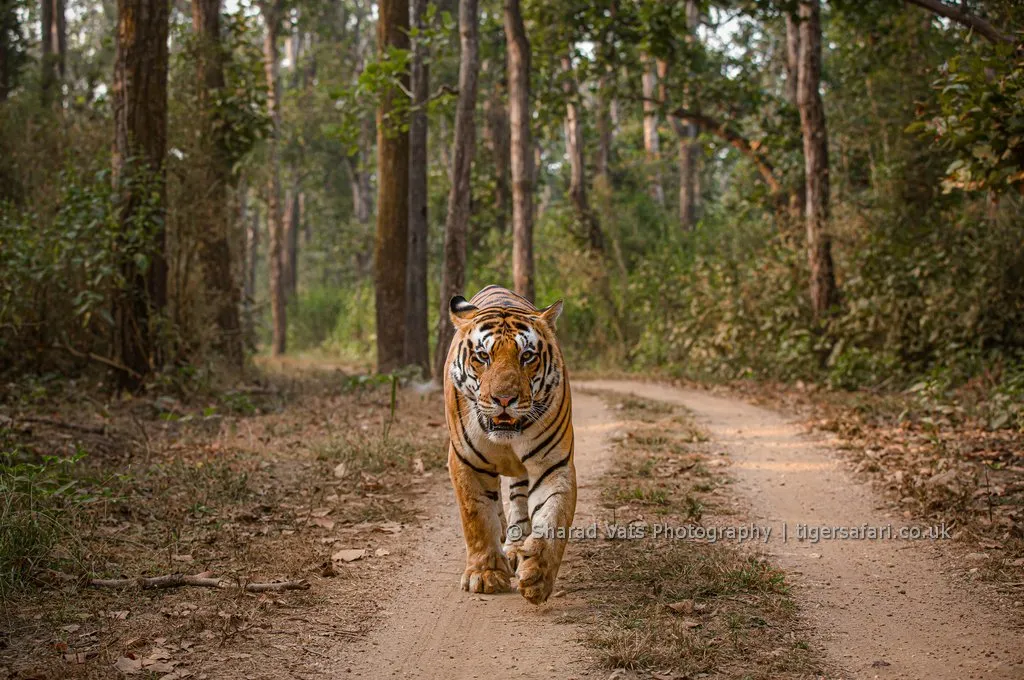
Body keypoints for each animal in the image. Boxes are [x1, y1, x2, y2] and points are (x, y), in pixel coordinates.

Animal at [442, 284, 577, 602]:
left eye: (527, 356)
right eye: (483, 356)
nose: (504, 399)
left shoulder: (554, 465)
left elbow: (553, 517)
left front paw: (538, 573)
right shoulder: (466, 462)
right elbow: (477, 517)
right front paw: (485, 574)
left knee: (518, 498)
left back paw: (516, 547)